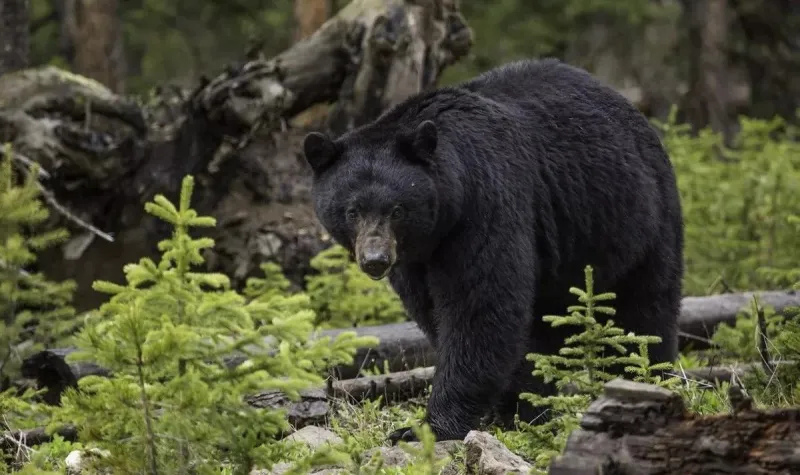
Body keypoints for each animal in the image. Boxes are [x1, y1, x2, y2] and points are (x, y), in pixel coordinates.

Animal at [301, 58, 684, 444]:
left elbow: (480, 307)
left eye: (396, 210)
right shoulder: (415, 258)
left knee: (644, 310)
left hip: (637, 219)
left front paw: (427, 427)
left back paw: (643, 377)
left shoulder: (485, 204)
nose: (376, 260)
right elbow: (435, 310)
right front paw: (511, 407)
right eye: (352, 211)